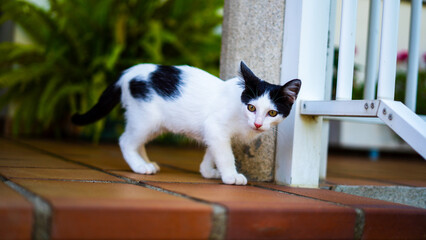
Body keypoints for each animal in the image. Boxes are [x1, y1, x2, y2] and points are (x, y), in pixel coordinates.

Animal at [72, 62, 300, 186]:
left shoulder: (212, 133)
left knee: (137, 141)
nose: (258, 124)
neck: (239, 108)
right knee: (126, 140)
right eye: (252, 107)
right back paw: (139, 166)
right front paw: (230, 176)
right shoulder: (216, 128)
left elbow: (212, 151)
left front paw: (208, 171)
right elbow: (225, 155)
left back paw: (146, 162)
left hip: (152, 124)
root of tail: (130, 72)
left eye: (272, 113)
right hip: (147, 119)